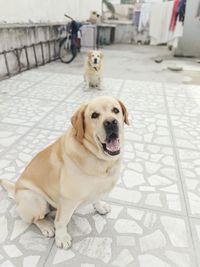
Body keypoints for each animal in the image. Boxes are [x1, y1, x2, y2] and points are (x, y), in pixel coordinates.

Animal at [0, 97, 128, 251]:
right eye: (94, 115)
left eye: (115, 110)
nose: (111, 122)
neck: (98, 158)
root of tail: (15, 190)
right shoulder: (68, 200)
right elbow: (61, 222)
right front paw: (61, 237)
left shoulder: (97, 189)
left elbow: (97, 198)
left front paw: (100, 206)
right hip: (34, 199)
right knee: (33, 219)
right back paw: (46, 226)